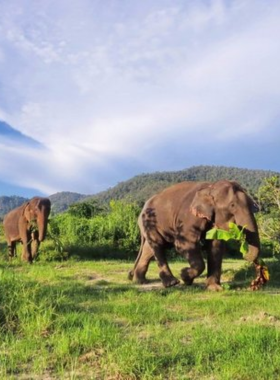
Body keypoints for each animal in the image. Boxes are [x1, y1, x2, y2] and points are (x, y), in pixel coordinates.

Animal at [129, 181, 260, 290]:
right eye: (232, 205)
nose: (243, 253)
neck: (211, 186)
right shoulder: (188, 217)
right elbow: (184, 244)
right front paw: (184, 275)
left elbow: (215, 246)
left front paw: (215, 289)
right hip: (149, 222)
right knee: (158, 245)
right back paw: (171, 283)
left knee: (149, 249)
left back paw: (140, 281)